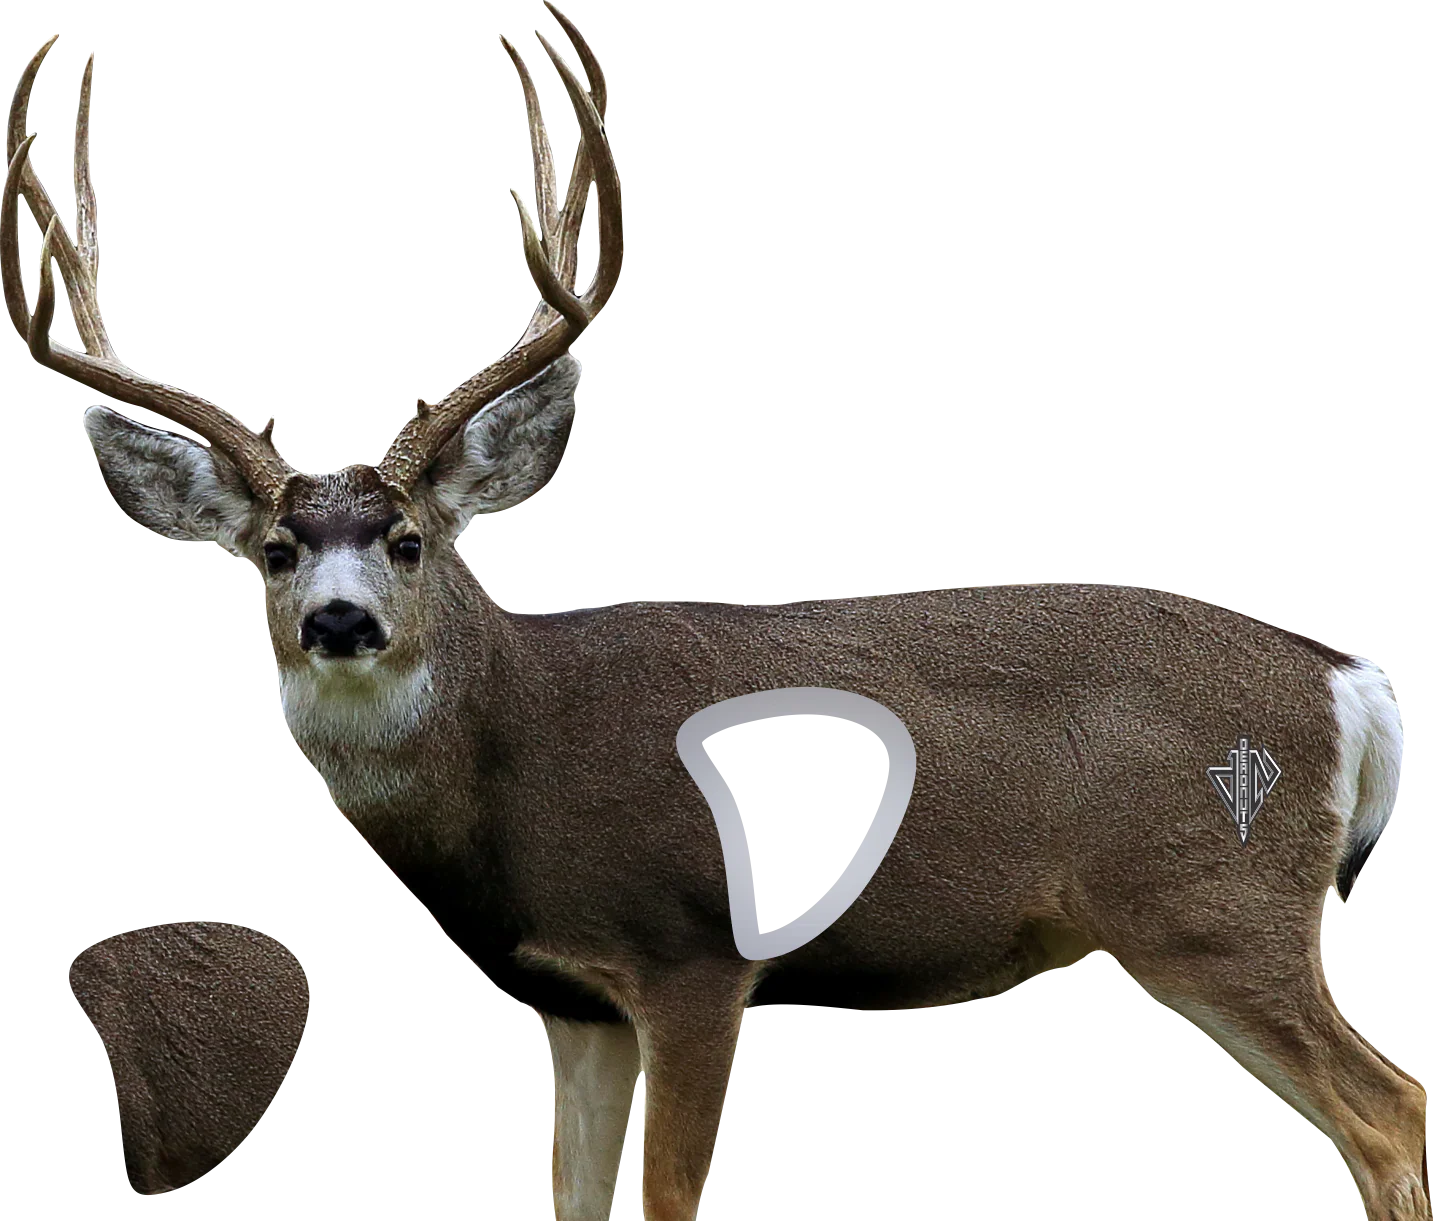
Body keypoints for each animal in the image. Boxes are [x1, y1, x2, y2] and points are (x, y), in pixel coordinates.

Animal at [4, 8, 1429, 1221]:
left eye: (410, 541)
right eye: (274, 550)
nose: (341, 623)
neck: (520, 752)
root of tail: (1345, 678)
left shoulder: (694, 955)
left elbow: (668, 1199)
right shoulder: (569, 998)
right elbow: (569, 1201)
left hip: (1208, 900)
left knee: (1385, 1118)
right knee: (1397, 1105)